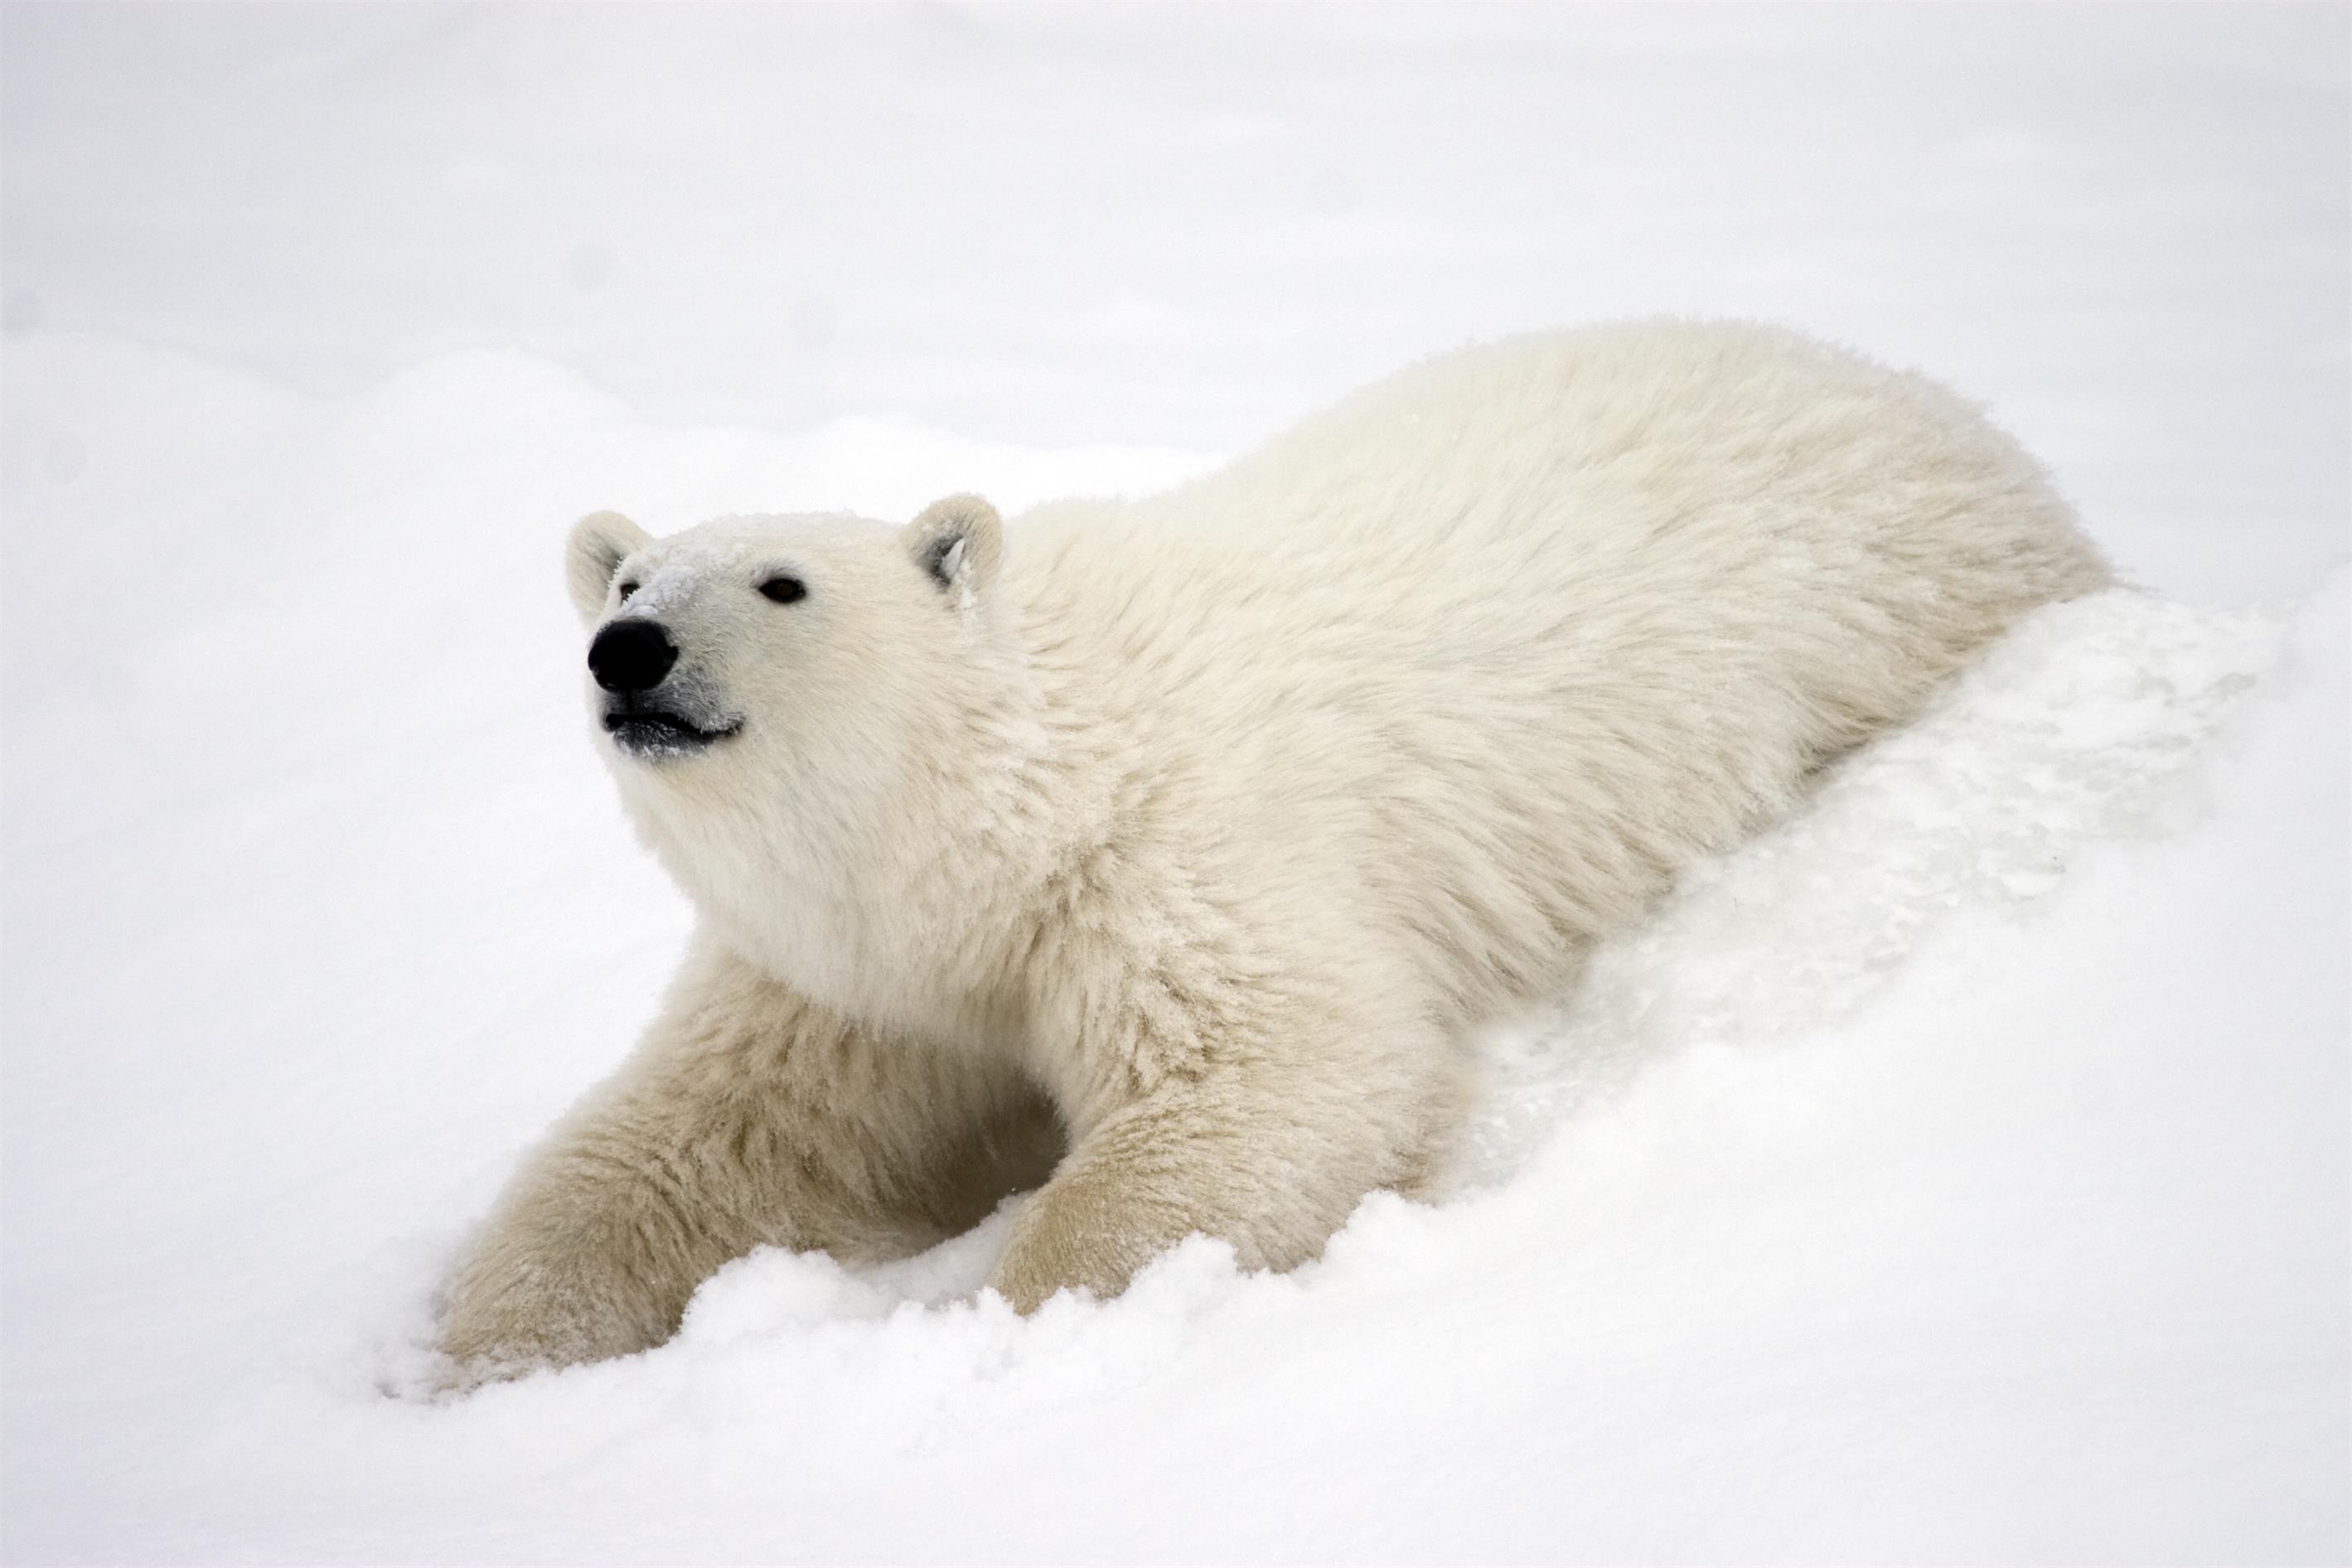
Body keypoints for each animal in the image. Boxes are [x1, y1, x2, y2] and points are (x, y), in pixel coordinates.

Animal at [442, 319, 2117, 1372]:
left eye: (781, 584)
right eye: (630, 575)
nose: (629, 653)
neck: (1004, 809)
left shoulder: (1164, 860)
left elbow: (1276, 1071)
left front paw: (1018, 1314)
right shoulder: (846, 981)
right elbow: (709, 1143)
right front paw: (475, 1352)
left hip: (1901, 612)